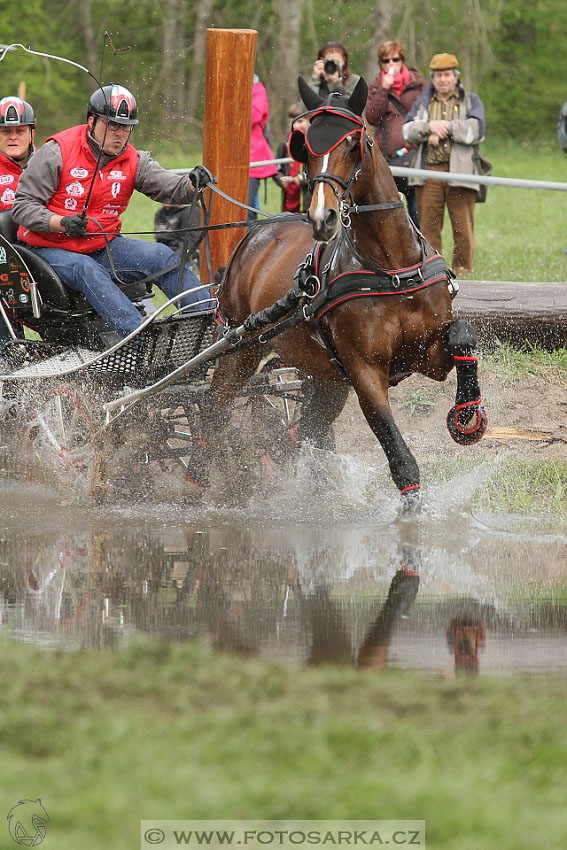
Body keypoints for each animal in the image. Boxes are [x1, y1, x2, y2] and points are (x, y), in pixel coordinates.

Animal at [196, 76, 488, 506]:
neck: (390, 268)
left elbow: (462, 334)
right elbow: (399, 456)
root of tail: (255, 235)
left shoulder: (427, 354)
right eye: (304, 146)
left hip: (326, 380)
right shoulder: (364, 370)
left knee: (309, 433)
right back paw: (198, 477)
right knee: (213, 410)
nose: (322, 217)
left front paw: (468, 412)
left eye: (353, 142)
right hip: (240, 349)